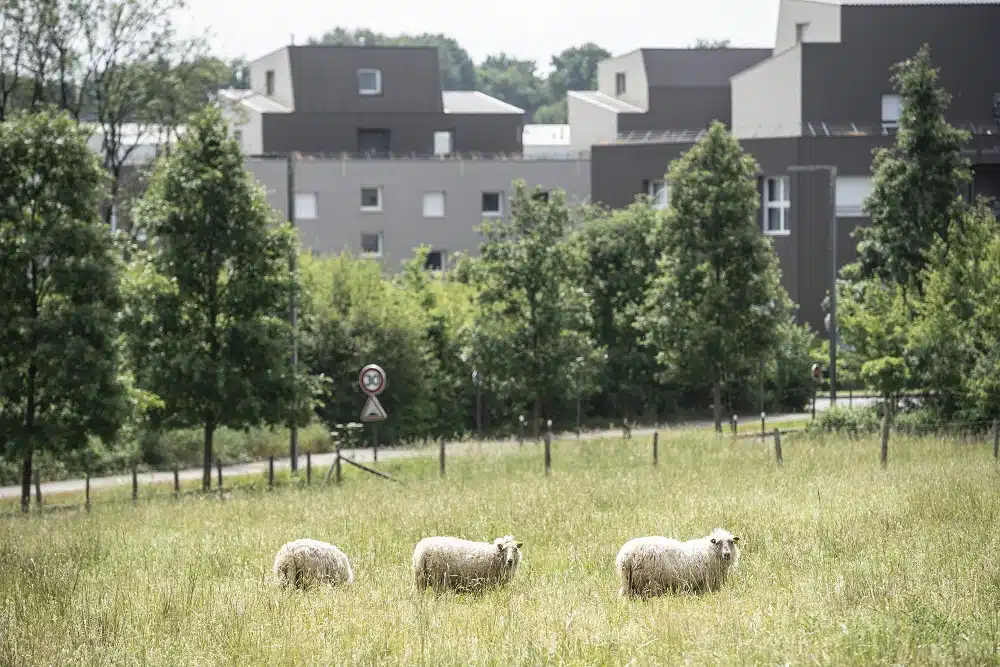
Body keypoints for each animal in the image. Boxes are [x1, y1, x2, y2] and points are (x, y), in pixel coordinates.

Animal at [612, 528, 740, 600]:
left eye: (731, 542)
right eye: (717, 542)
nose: (727, 554)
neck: (710, 551)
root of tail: (625, 555)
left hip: (629, 582)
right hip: (646, 581)